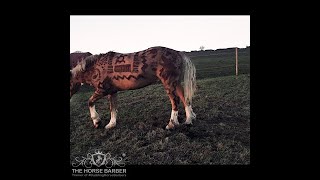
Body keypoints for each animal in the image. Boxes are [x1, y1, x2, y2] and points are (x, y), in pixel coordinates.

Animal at [69, 46, 198, 130]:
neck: (95, 67)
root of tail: (177, 52)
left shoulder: (102, 90)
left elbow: (90, 102)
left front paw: (96, 121)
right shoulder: (112, 92)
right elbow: (113, 108)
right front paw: (111, 124)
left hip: (169, 84)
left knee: (175, 101)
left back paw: (172, 124)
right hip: (176, 84)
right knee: (185, 99)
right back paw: (189, 120)